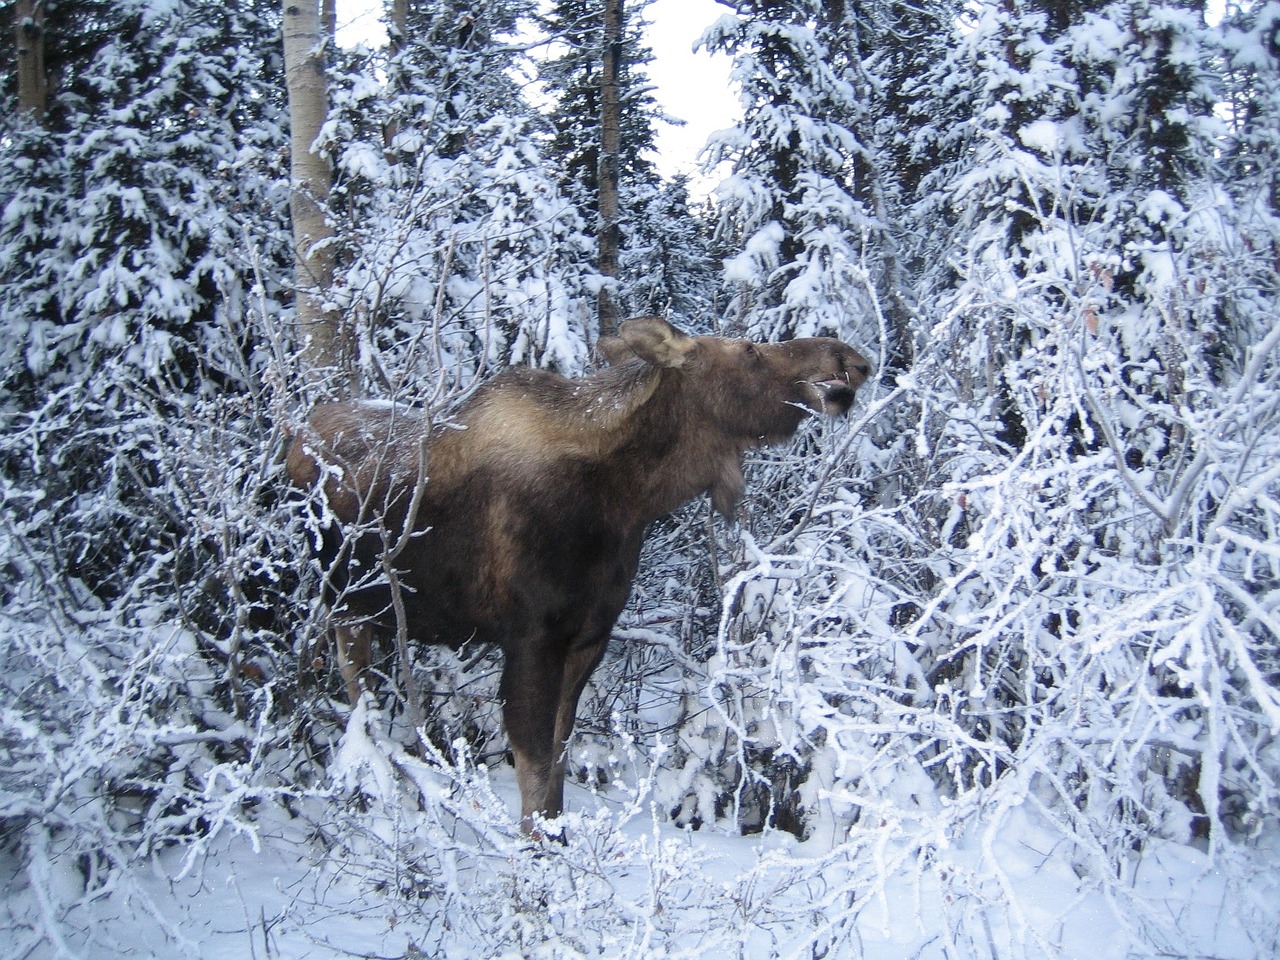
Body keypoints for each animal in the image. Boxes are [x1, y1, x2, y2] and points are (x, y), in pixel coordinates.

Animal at [288, 316, 870, 834]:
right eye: (749, 350)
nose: (852, 358)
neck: (630, 500)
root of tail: (296, 434)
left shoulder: (589, 637)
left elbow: (560, 760)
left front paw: (558, 837)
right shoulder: (530, 639)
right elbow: (533, 764)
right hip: (343, 605)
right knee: (356, 694)